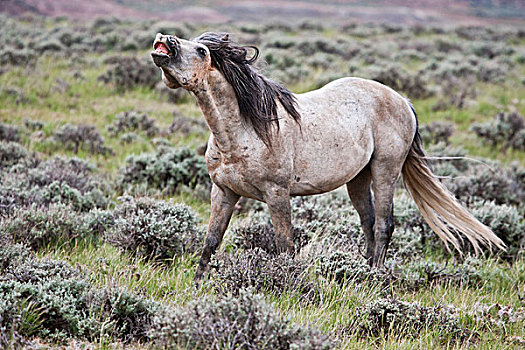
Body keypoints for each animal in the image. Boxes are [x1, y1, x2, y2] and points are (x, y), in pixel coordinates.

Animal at [150, 30, 504, 282]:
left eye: (202, 51)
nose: (164, 40)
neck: (245, 130)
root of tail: (402, 99)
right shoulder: (223, 191)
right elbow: (211, 240)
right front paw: (198, 287)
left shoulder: (277, 193)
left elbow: (285, 245)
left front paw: (285, 285)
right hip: (358, 179)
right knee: (368, 222)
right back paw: (363, 272)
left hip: (385, 169)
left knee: (384, 224)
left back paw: (375, 279)